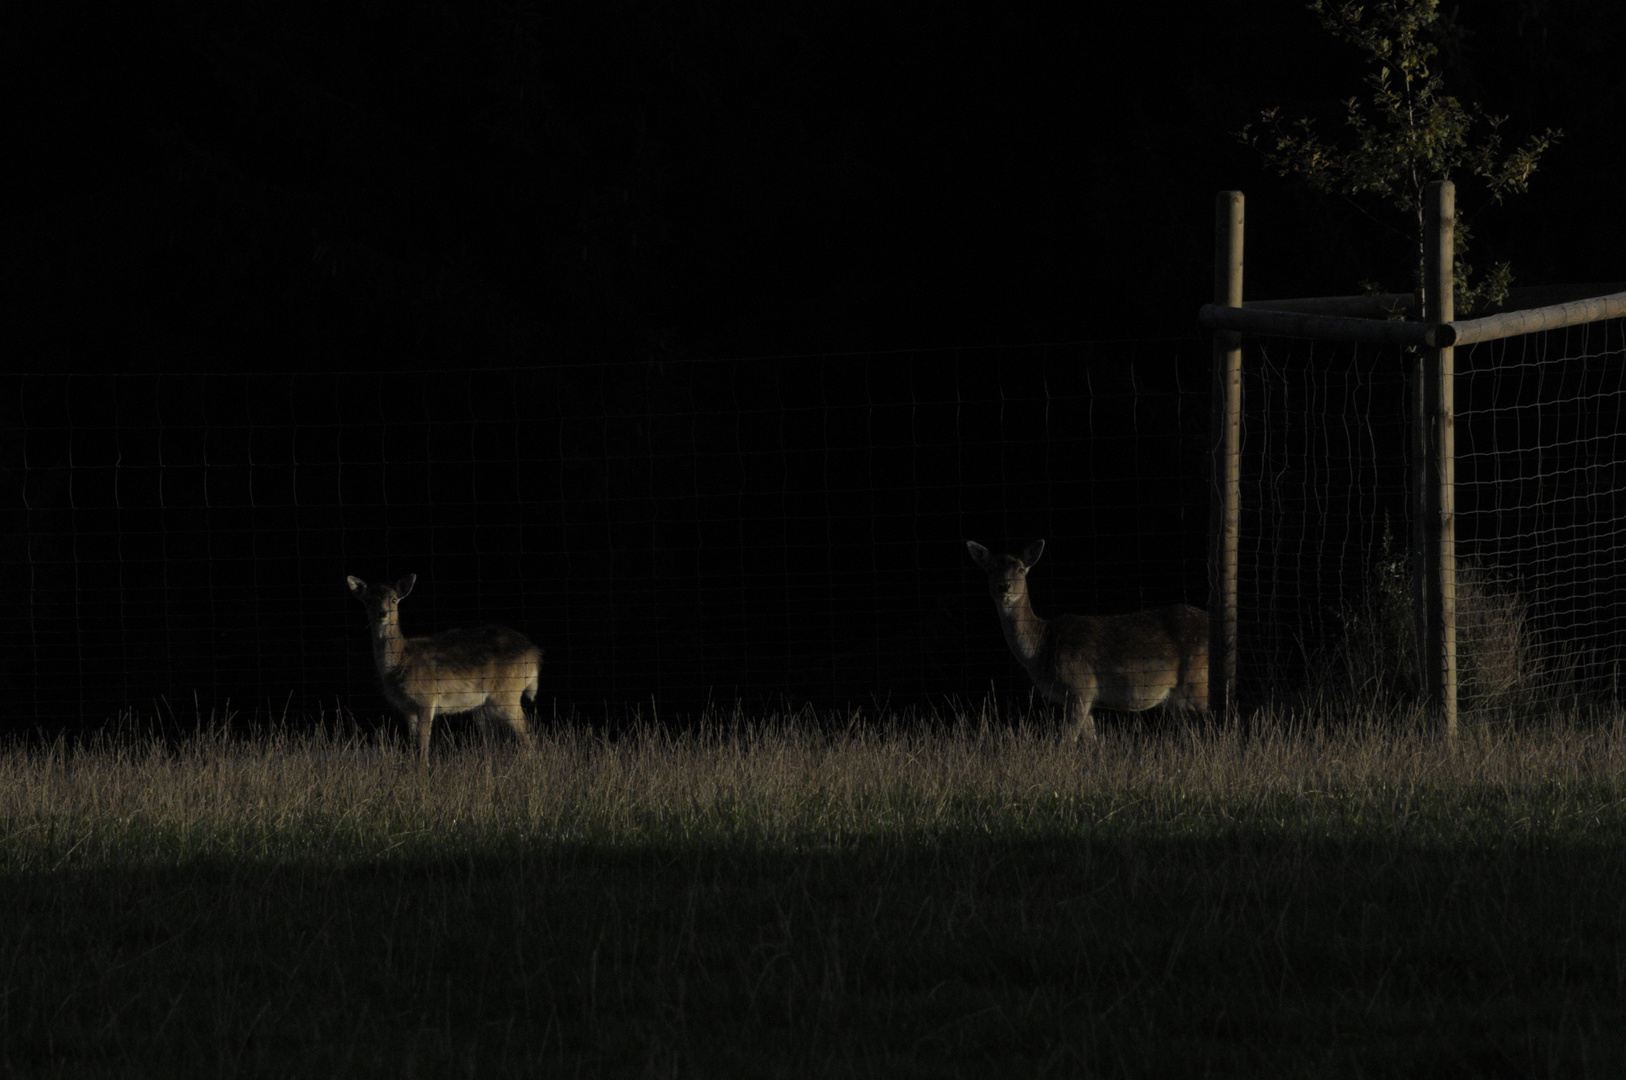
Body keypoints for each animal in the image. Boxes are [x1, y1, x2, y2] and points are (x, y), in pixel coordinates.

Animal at [346, 569, 543, 764]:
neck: (401, 662)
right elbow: (413, 746)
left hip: (508, 692)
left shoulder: (427, 698)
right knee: (495, 741)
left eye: (394, 599)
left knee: (527, 735)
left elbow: (423, 746)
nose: (382, 613)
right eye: (369, 600)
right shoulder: (407, 709)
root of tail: (534, 654)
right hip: (485, 704)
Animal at [962, 540, 1209, 741]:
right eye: (990, 569)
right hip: (1176, 697)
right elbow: (1093, 744)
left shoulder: (1079, 686)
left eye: (1021, 569)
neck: (1043, 647)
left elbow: (1066, 741)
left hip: (1198, 680)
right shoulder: (1086, 698)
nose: (1004, 586)